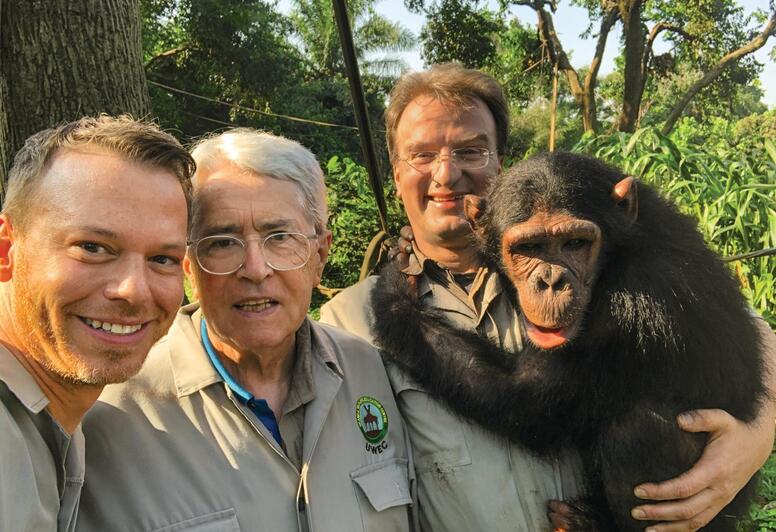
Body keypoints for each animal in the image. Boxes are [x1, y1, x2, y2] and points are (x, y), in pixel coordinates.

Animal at [372, 152, 768, 528]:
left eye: (575, 243)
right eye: (529, 247)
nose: (551, 280)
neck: (617, 255)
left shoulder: (630, 307)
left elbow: (525, 397)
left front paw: (394, 294)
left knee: (638, 428)